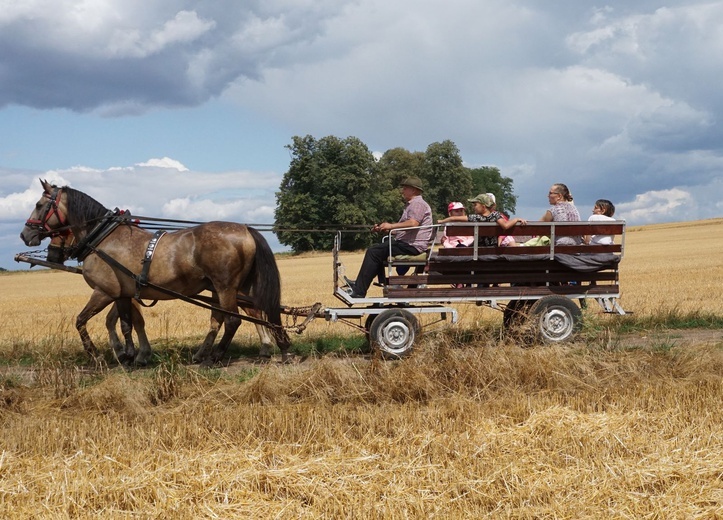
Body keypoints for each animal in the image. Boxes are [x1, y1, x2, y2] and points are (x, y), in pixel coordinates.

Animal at [21, 179, 292, 366]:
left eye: (39, 205)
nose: (25, 234)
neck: (103, 237)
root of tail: (246, 229)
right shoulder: (122, 293)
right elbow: (126, 324)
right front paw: (129, 355)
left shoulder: (104, 291)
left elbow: (81, 320)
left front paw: (98, 355)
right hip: (225, 288)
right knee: (234, 316)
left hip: (225, 286)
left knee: (233, 320)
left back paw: (214, 357)